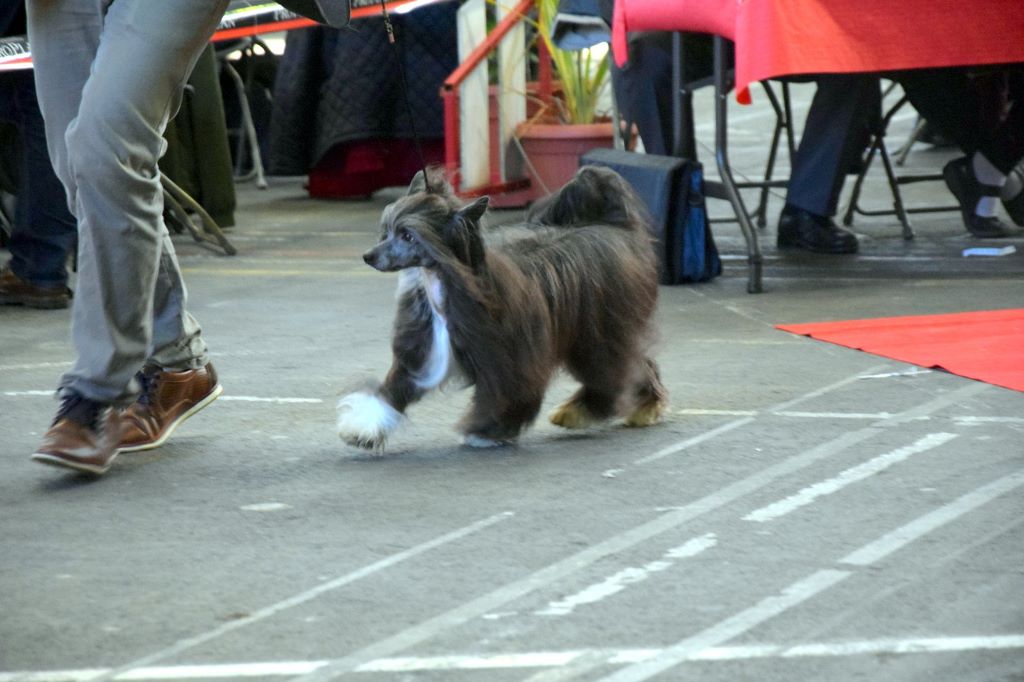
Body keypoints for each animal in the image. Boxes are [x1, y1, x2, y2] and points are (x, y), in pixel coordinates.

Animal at [335, 163, 667, 448]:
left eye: (408, 235)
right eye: (387, 230)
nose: (369, 256)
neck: (449, 284)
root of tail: (617, 227)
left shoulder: (509, 359)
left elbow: (508, 394)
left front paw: (484, 431)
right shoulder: (421, 351)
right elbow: (393, 389)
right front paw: (362, 427)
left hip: (597, 334)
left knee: (612, 374)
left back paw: (582, 412)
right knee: (635, 364)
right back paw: (643, 406)